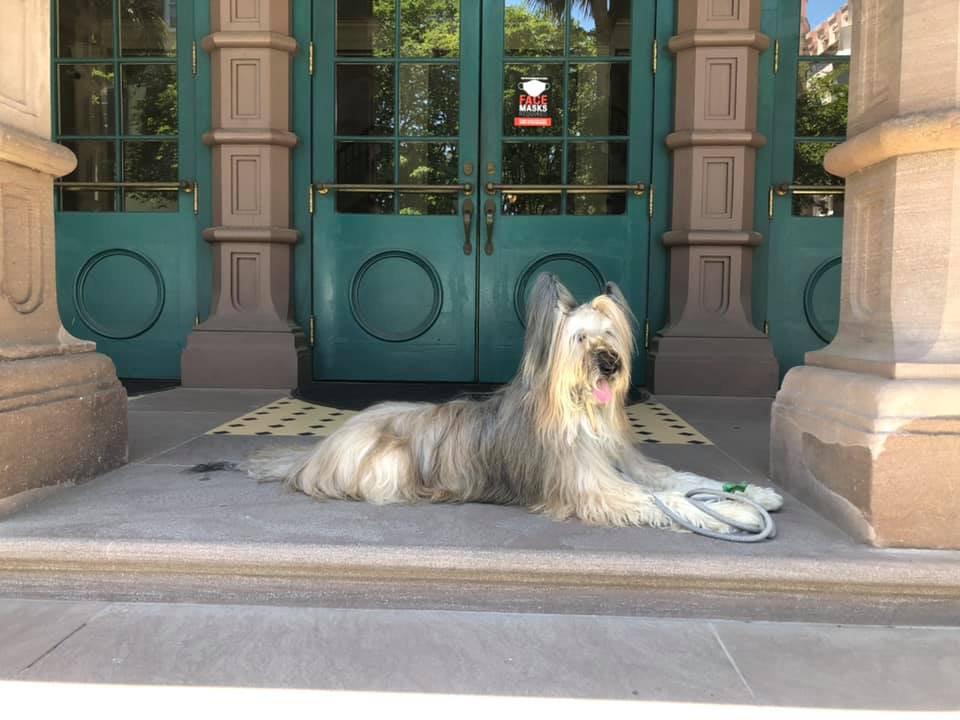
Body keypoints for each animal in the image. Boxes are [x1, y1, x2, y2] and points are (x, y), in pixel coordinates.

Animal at [251, 272, 784, 532]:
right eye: (580, 338)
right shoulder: (592, 486)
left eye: (610, 334)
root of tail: (314, 452)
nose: (609, 363)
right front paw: (736, 517)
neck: (580, 411)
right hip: (392, 461)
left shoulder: (628, 464)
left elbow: (686, 481)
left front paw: (753, 496)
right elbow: (668, 499)